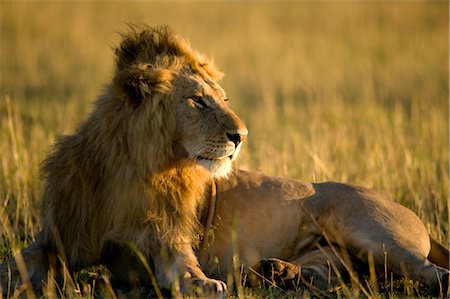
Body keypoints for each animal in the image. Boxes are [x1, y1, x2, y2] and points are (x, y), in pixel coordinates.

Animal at [0, 25, 448, 298]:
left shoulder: (170, 239)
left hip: (367, 230)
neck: (135, 169)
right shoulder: (59, 236)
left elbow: (184, 269)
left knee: (427, 270)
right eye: (198, 101)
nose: (241, 137)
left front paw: (205, 284)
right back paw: (278, 273)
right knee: (330, 271)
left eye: (223, 99)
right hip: (335, 253)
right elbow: (18, 261)